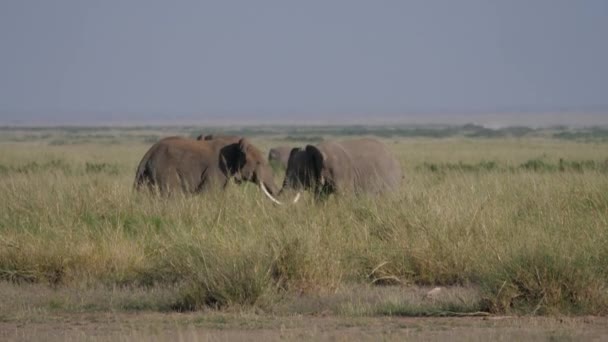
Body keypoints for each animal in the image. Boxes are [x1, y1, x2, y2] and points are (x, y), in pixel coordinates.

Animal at [134, 135, 282, 202]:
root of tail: (147, 155)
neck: (235, 143)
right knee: (173, 194)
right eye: (259, 163)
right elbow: (210, 192)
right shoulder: (216, 169)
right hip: (163, 170)